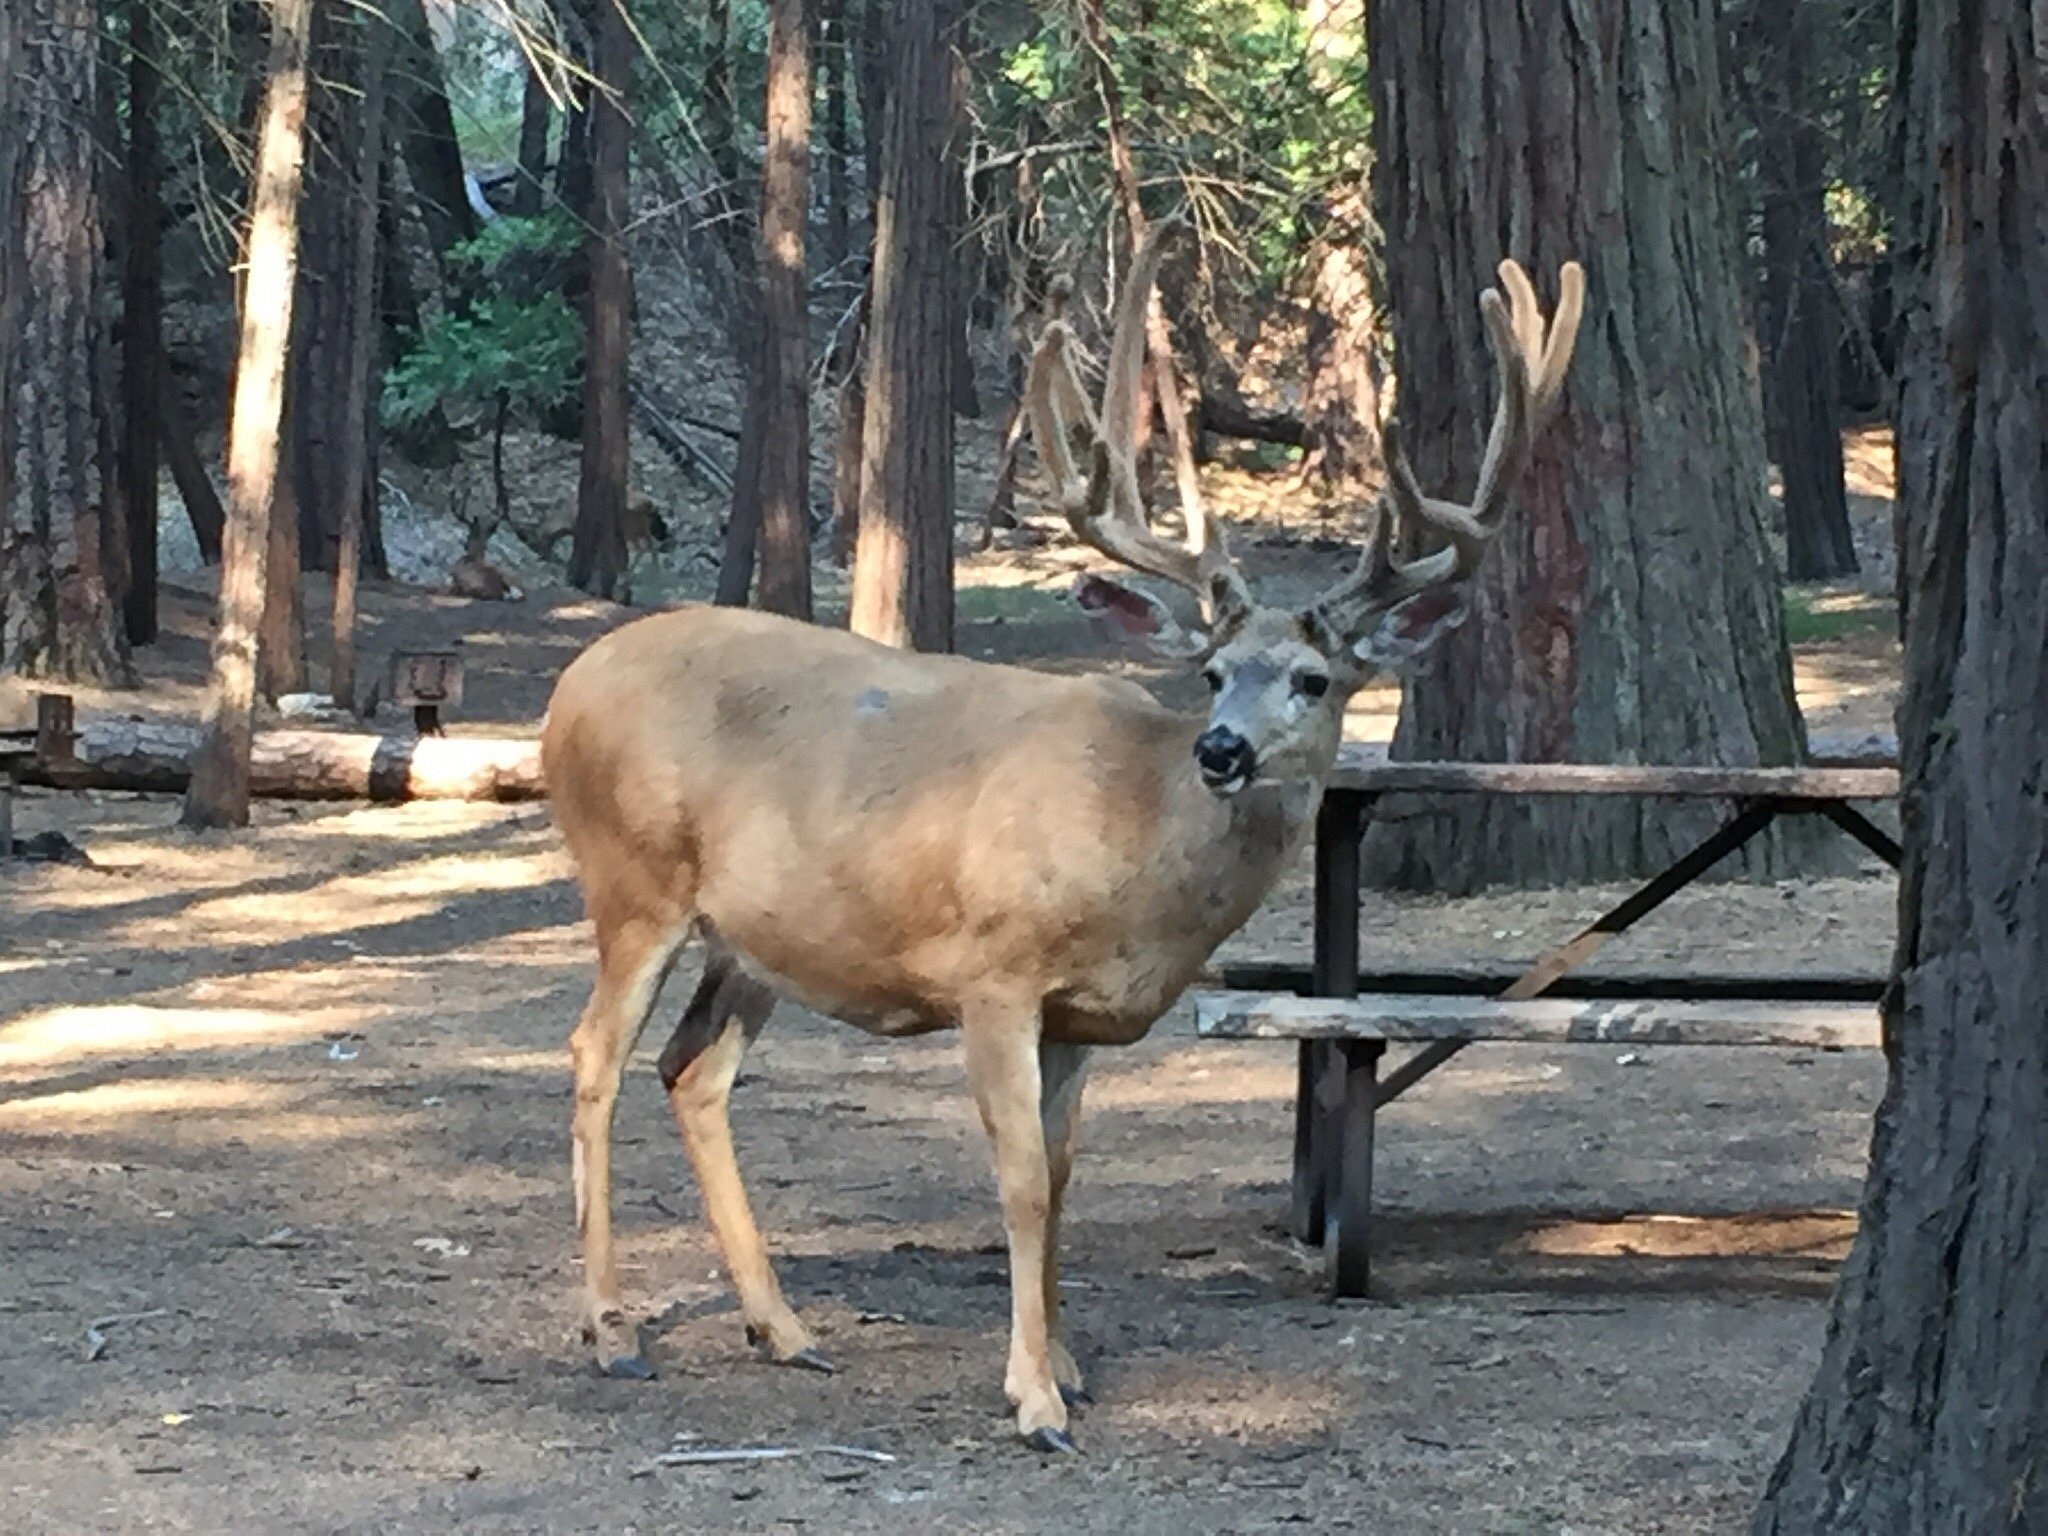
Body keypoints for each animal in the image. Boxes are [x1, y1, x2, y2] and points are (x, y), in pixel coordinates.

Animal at [539, 227, 1583, 1453]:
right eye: (1212, 673)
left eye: (1315, 680)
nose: (1221, 751)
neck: (1136, 847)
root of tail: (568, 688)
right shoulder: (992, 972)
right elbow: (1024, 1181)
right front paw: (1034, 1399)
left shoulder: (1083, 1017)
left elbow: (1070, 1177)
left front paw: (1073, 1366)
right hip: (634, 883)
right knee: (594, 1057)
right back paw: (612, 1332)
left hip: (750, 940)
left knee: (692, 1072)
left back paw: (785, 1330)